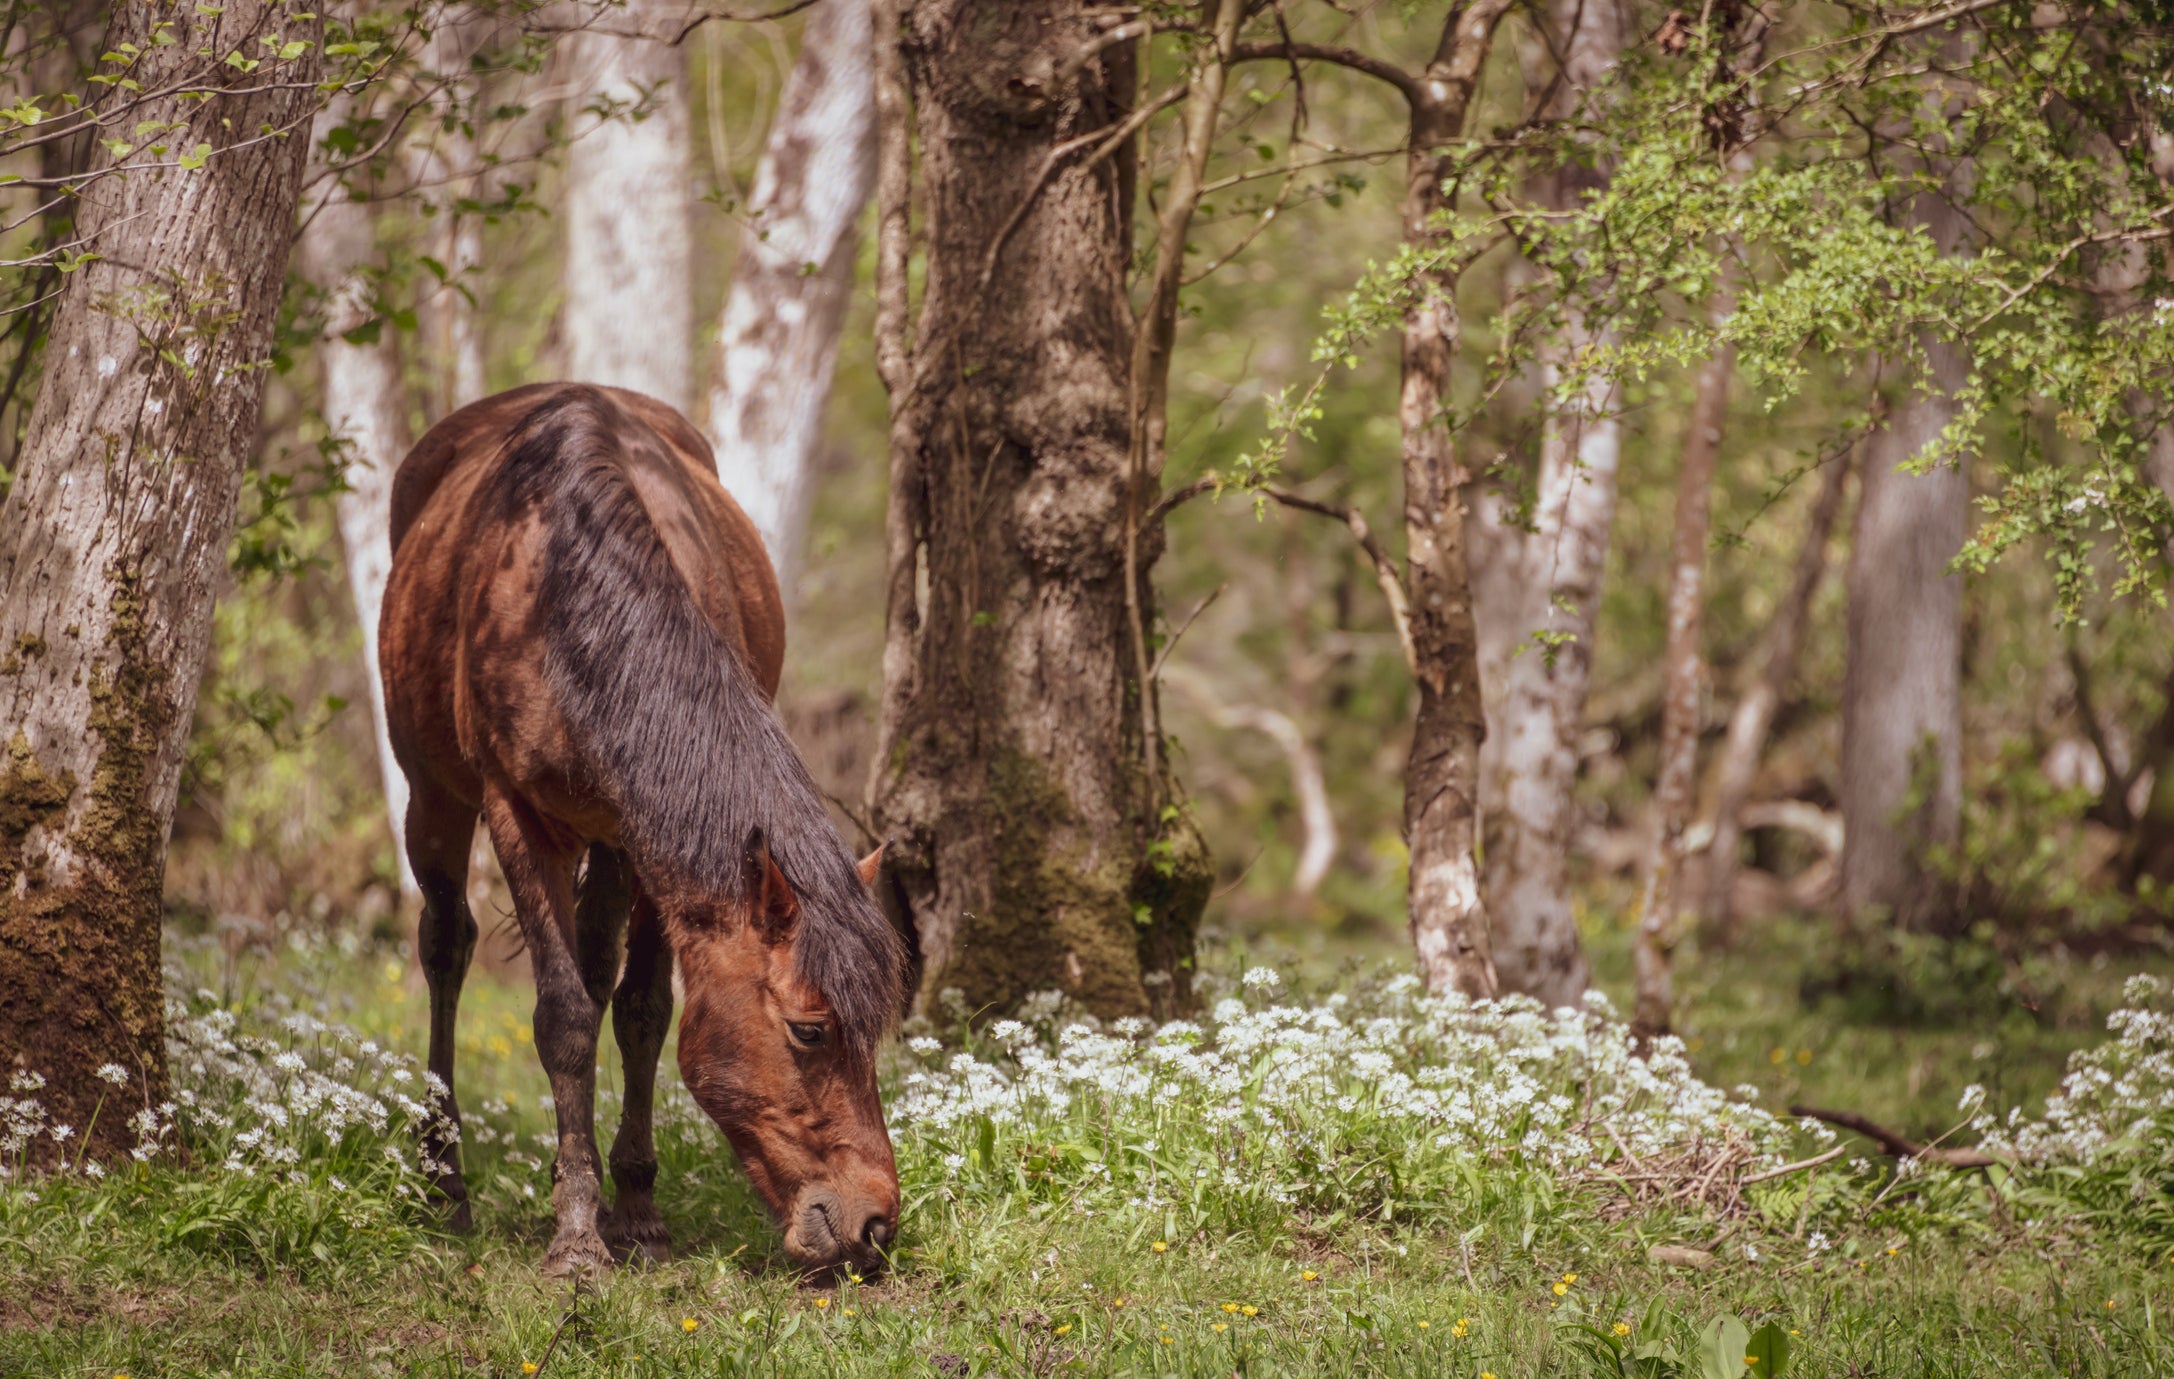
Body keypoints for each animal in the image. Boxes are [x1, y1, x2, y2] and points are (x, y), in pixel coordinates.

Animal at [379, 381, 906, 1278]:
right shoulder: (516, 812)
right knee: (447, 944)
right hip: (433, 799)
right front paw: (576, 1239)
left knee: (598, 972)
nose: (875, 1223)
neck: (568, 597)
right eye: (810, 1029)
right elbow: (562, 1016)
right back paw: (445, 1182)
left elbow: (642, 1010)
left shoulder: (655, 840)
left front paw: (633, 1211)